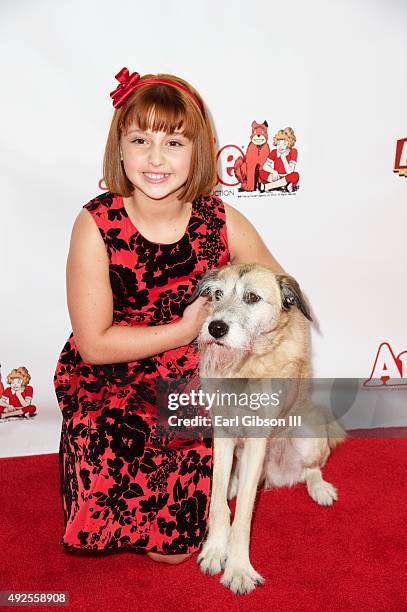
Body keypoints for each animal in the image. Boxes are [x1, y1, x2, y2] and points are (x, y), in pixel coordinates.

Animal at [189, 262, 348, 592]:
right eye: (217, 294)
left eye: (252, 297)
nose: (215, 328)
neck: (245, 367)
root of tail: (275, 475)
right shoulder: (223, 433)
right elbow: (218, 504)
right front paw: (215, 549)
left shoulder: (257, 437)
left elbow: (242, 518)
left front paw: (238, 569)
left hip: (307, 433)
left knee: (312, 469)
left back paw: (321, 489)